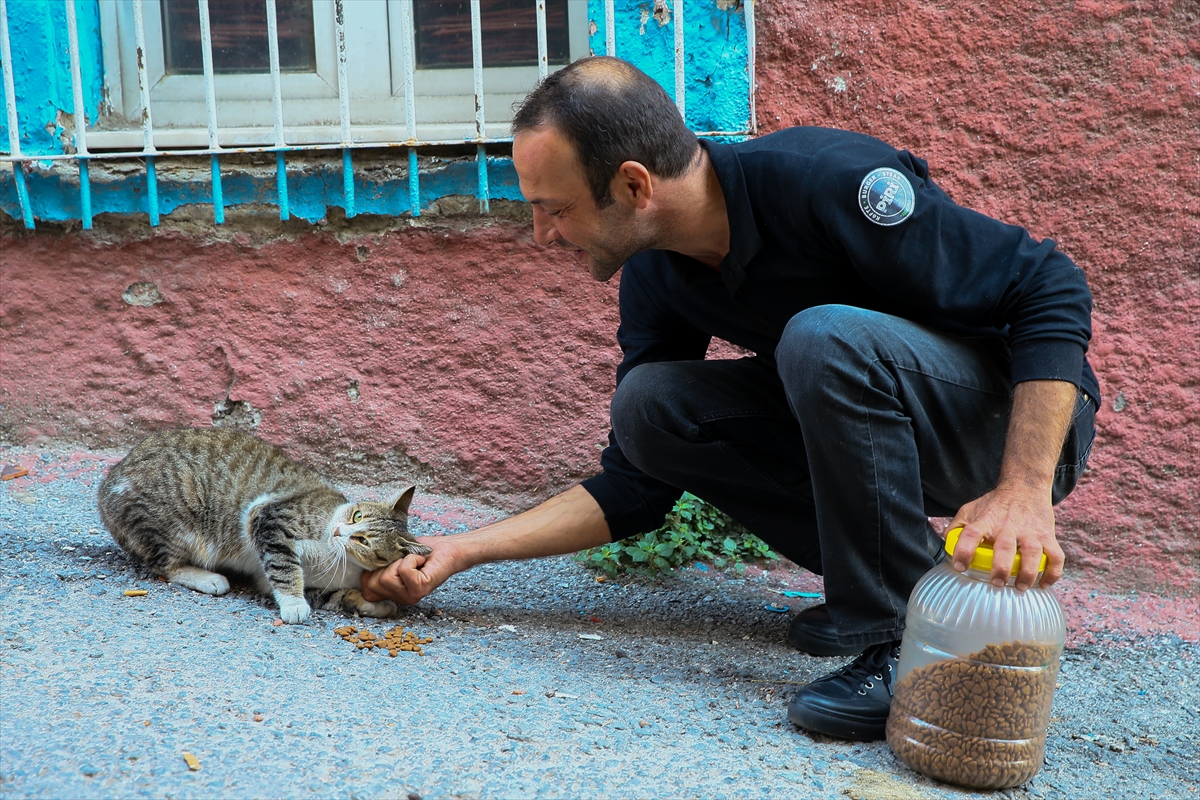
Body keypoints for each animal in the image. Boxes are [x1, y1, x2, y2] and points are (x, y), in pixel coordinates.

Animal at [97, 429, 432, 623]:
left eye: (363, 541)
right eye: (357, 516)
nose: (339, 532)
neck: (339, 560)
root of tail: (108, 483)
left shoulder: (301, 581)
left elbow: (336, 596)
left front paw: (377, 605)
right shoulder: (268, 518)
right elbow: (284, 567)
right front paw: (294, 605)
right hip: (177, 517)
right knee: (165, 565)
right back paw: (208, 578)